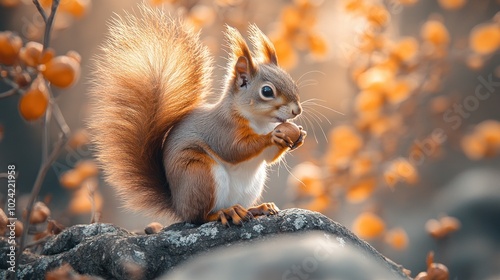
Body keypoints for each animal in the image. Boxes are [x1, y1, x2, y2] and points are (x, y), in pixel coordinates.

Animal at [90, 4, 306, 226]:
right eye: (267, 91)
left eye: (291, 80)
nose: (296, 110)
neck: (259, 122)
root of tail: (178, 205)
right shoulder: (221, 129)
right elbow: (234, 149)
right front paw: (273, 136)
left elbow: (268, 158)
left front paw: (298, 135)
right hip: (199, 175)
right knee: (200, 216)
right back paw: (226, 213)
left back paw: (256, 209)